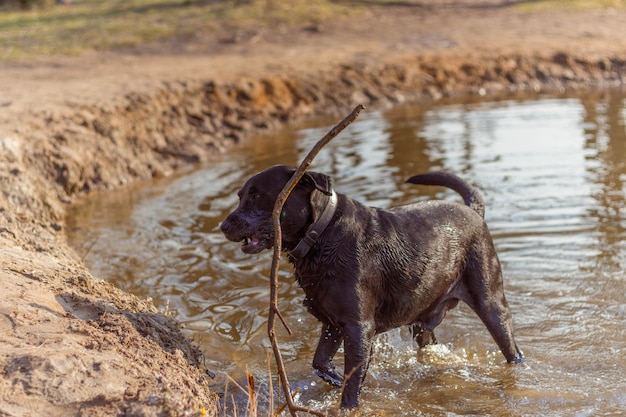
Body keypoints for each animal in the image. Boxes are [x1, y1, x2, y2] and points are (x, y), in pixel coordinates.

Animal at [219, 165, 520, 406]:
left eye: (257, 195)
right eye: (241, 196)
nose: (223, 226)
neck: (322, 235)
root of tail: (473, 211)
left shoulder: (358, 327)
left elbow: (351, 383)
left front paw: (349, 401)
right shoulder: (332, 324)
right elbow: (320, 363)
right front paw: (345, 380)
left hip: (491, 302)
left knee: (511, 348)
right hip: (422, 319)